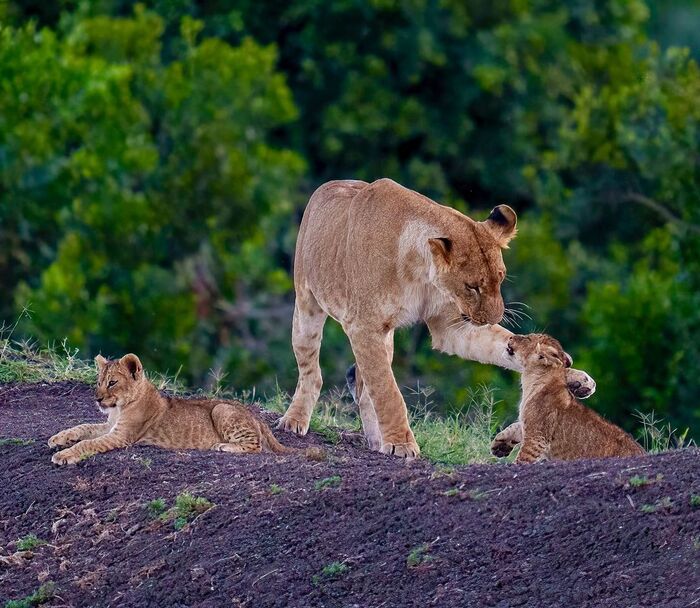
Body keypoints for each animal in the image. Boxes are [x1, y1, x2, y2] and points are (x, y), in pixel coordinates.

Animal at [276, 179, 592, 456]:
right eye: (472, 287)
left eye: (500, 277)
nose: (494, 316)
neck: (422, 274)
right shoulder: (363, 326)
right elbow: (388, 391)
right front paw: (402, 445)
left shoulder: (452, 326)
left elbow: (503, 346)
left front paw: (575, 379)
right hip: (307, 304)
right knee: (312, 372)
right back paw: (295, 421)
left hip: (385, 337)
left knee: (365, 387)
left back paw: (377, 441)